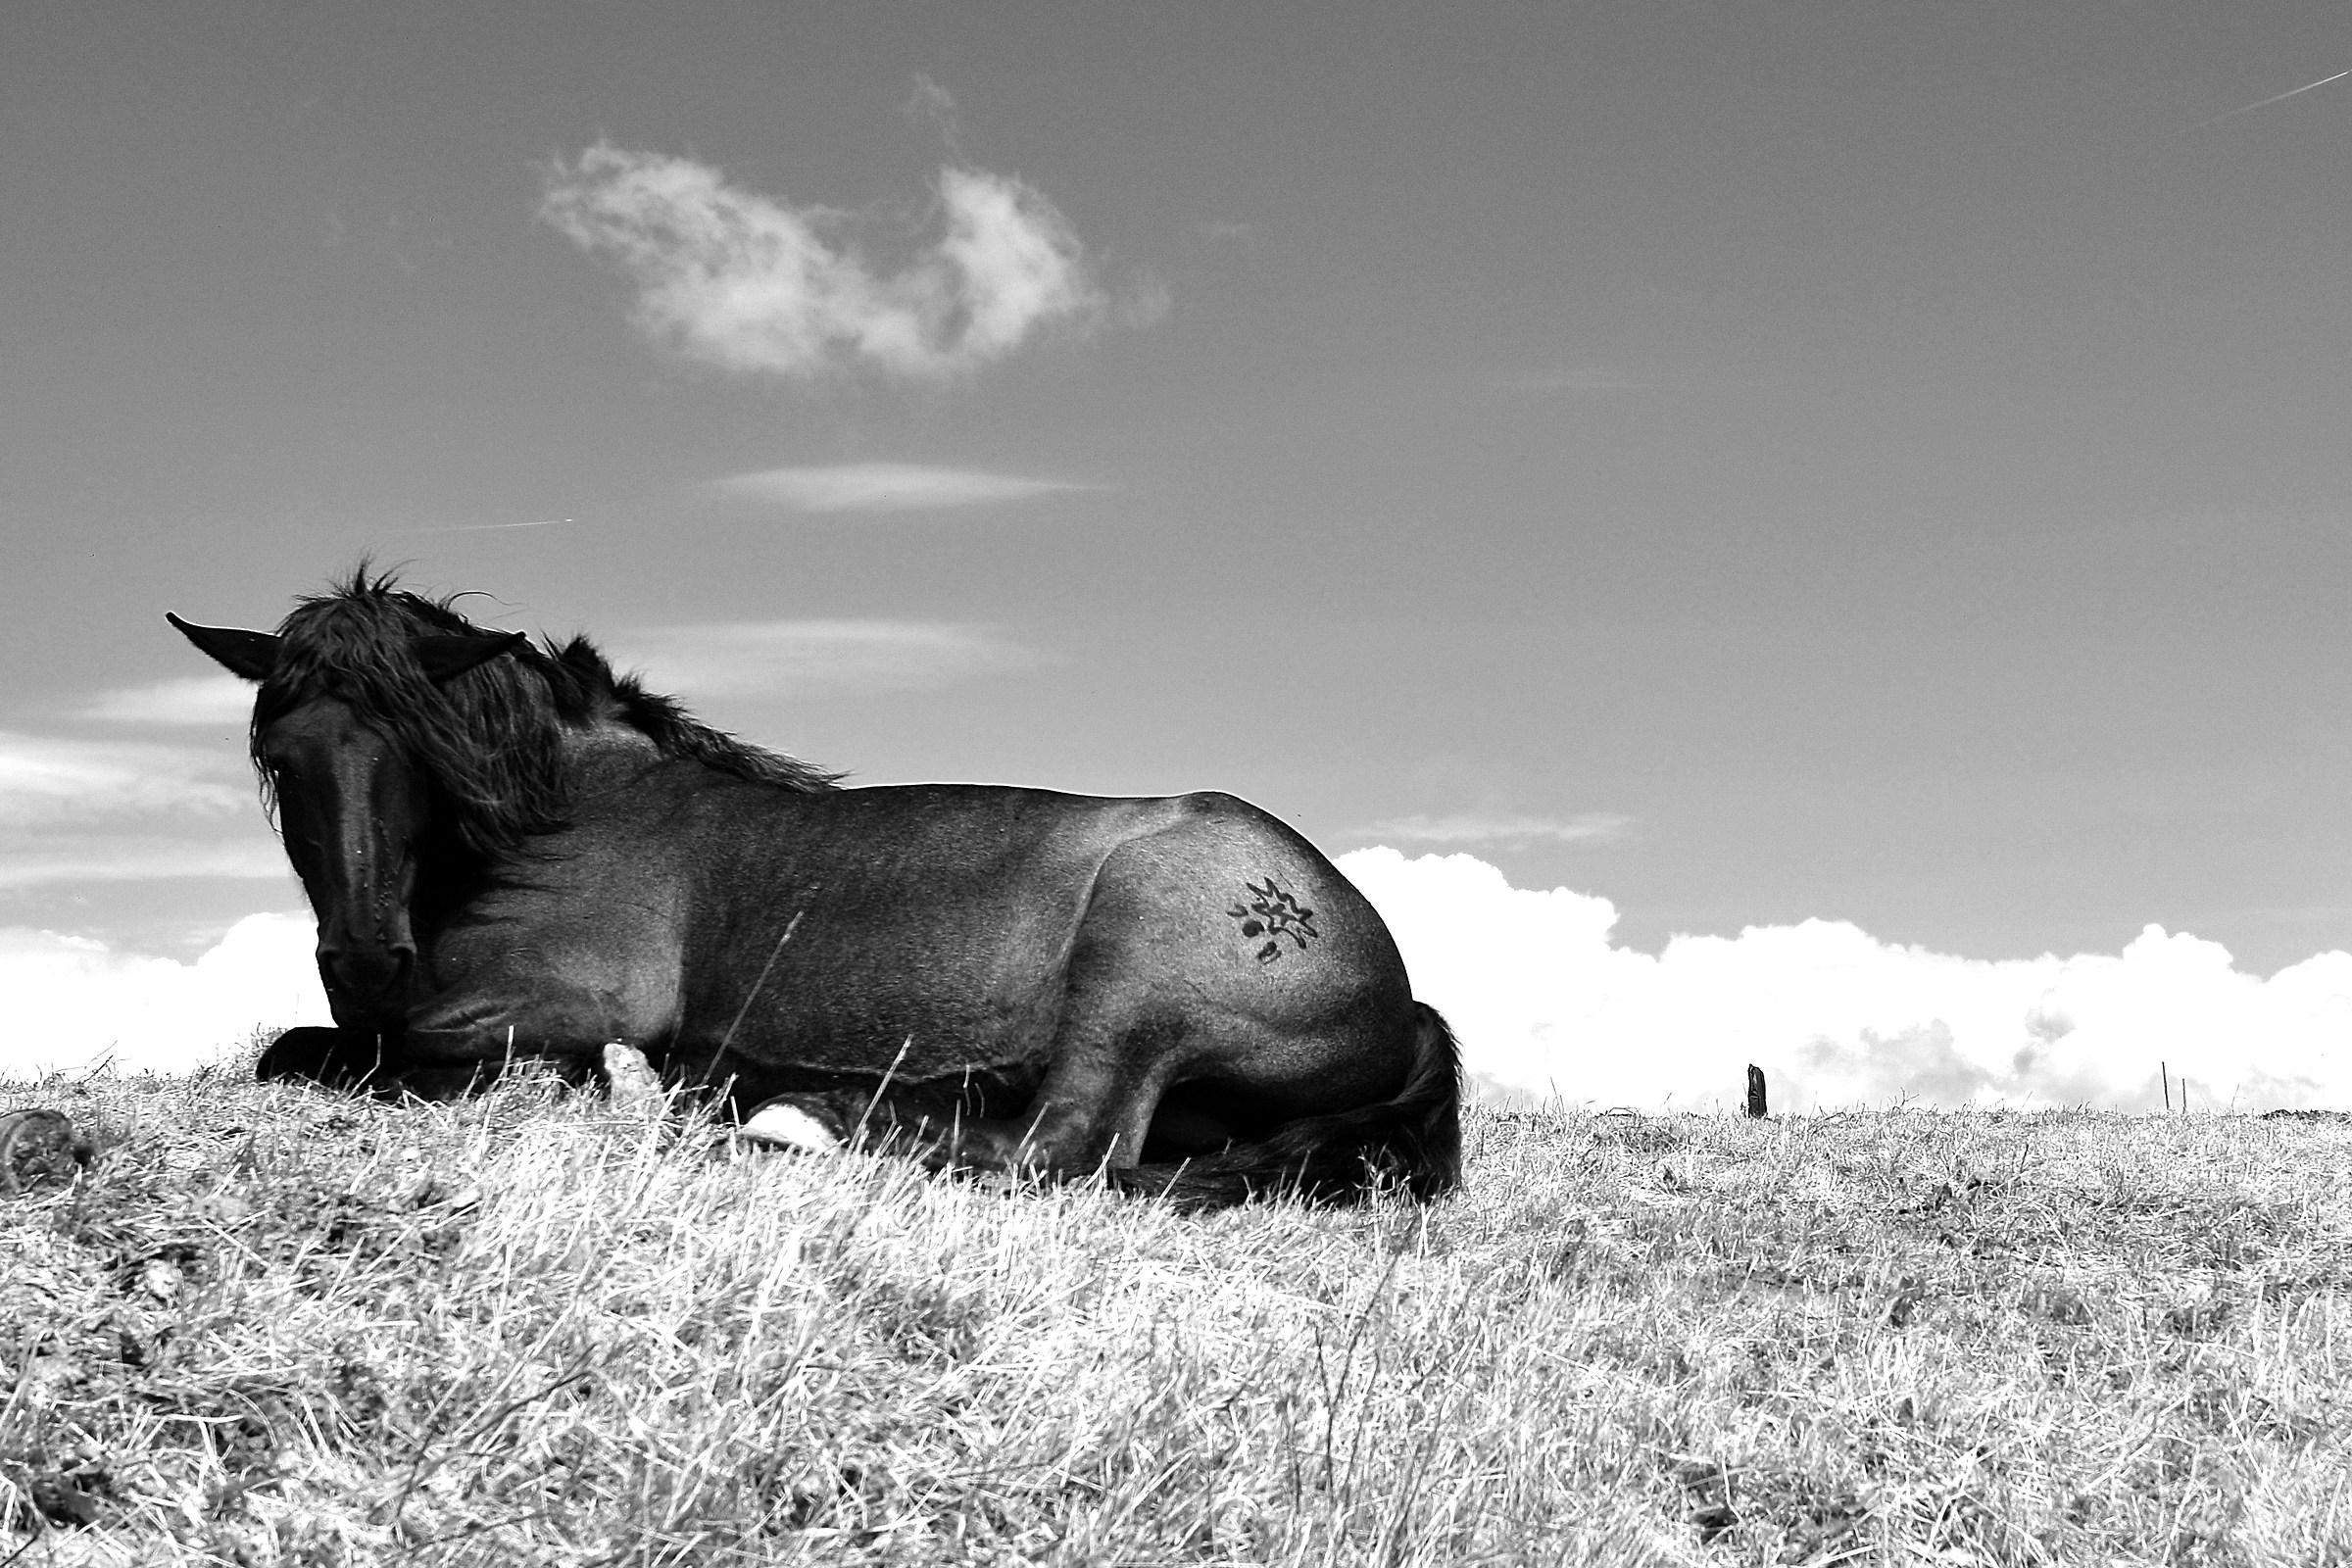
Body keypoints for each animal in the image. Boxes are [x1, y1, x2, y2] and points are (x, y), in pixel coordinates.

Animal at [170, 571, 1461, 1208]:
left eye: (415, 751)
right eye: (279, 755)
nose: (364, 958)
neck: (564, 818)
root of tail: (1401, 997)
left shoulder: (546, 1006)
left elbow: (318, 1051)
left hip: (1135, 971)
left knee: (1061, 1150)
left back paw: (797, 1118)